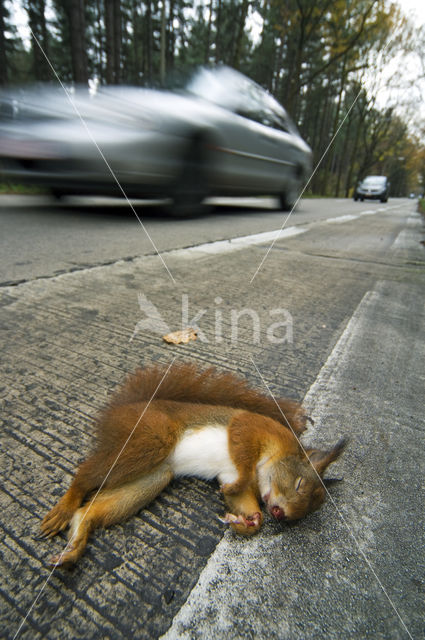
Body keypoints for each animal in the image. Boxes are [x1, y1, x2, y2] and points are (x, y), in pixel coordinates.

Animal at [40, 362, 344, 568]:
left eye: (302, 515)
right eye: (300, 483)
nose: (281, 514)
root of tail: (126, 408)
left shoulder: (234, 479)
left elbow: (242, 500)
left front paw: (248, 520)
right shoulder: (250, 428)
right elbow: (242, 458)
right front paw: (240, 488)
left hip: (152, 478)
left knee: (88, 512)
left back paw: (74, 545)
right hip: (151, 438)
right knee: (85, 474)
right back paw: (65, 508)